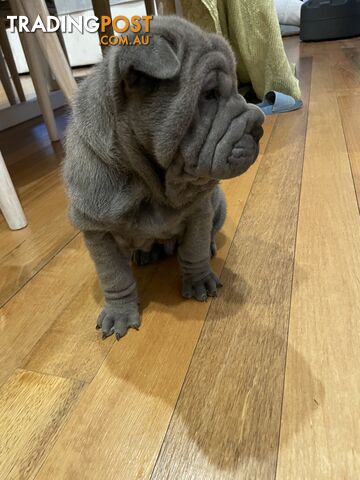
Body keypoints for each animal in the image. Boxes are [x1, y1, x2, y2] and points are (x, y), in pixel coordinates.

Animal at [63, 14, 264, 338]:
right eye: (209, 95)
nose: (260, 124)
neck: (149, 182)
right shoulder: (96, 229)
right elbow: (114, 276)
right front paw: (120, 314)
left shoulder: (198, 210)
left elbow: (193, 249)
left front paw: (199, 282)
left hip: (218, 204)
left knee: (207, 234)